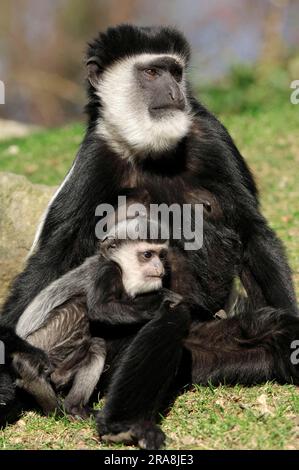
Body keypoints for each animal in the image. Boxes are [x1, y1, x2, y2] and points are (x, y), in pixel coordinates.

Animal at [13, 237, 180, 416]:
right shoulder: (108, 271)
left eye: (161, 256)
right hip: (44, 340)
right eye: (148, 255)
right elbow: (99, 309)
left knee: (93, 348)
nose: (159, 267)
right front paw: (161, 301)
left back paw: (67, 393)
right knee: (81, 307)